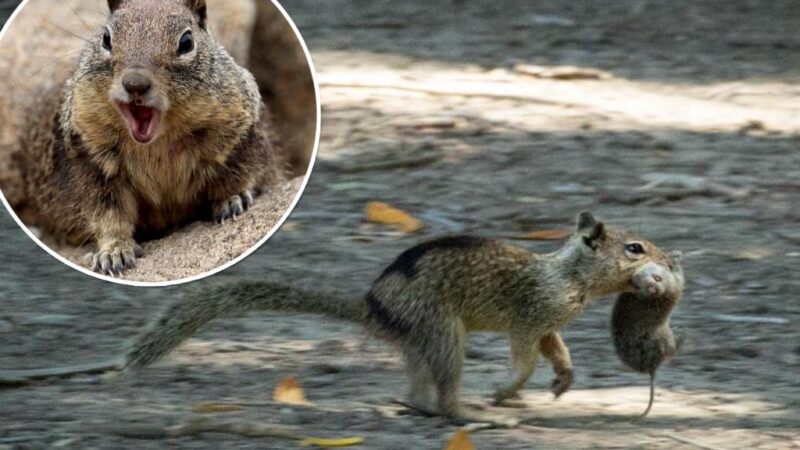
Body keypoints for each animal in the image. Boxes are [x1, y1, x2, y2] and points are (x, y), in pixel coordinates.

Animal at [9, 0, 286, 274]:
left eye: (186, 42)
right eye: (106, 38)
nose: (135, 83)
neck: (157, 144)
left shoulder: (237, 129)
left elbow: (240, 170)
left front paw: (232, 199)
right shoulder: (89, 160)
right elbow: (107, 214)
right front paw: (114, 252)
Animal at [120, 213, 676, 428]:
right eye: (634, 248)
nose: (670, 260)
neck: (570, 274)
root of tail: (371, 305)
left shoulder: (548, 323)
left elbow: (556, 348)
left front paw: (564, 379)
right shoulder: (531, 316)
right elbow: (524, 358)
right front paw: (508, 390)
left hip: (421, 340)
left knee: (417, 390)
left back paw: (416, 405)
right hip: (443, 331)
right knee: (447, 396)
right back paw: (475, 412)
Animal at [608, 248, 684, 416]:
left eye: (657, 278)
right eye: (637, 284)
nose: (653, 289)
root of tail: (651, 368)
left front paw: (673, 255)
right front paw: (674, 257)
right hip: (665, 339)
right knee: (672, 351)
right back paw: (682, 334)